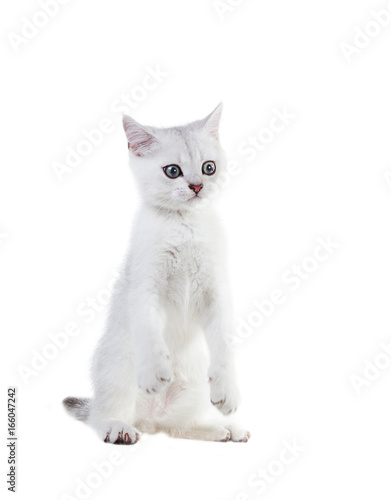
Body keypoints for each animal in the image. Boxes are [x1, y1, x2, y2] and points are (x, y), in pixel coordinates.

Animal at [62, 103, 250, 444]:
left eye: (209, 168)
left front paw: (227, 391)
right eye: (172, 171)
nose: (197, 186)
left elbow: (225, 346)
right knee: (101, 416)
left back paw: (224, 429)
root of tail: (150, 421)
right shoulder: (145, 289)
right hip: (115, 372)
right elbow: (150, 331)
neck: (185, 227)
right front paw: (154, 372)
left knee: (179, 427)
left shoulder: (217, 293)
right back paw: (119, 428)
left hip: (193, 388)